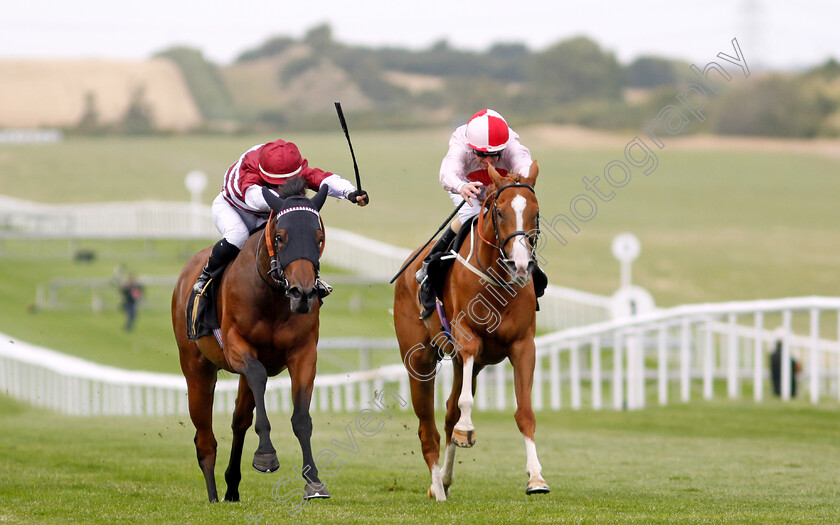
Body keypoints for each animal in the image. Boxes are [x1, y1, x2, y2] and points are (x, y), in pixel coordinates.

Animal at [171, 178, 328, 502]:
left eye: (318, 237)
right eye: (280, 237)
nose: (303, 293)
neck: (271, 296)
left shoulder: (304, 352)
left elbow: (301, 417)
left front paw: (314, 482)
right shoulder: (236, 346)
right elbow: (257, 375)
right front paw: (266, 456)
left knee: (239, 419)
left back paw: (231, 487)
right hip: (196, 368)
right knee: (205, 438)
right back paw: (213, 496)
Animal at [394, 161, 552, 500]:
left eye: (535, 212)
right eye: (500, 211)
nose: (520, 265)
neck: (498, 282)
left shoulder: (523, 345)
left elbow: (524, 412)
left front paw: (536, 478)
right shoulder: (466, 339)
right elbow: (463, 407)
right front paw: (467, 430)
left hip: (471, 365)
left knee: (448, 414)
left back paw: (445, 478)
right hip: (419, 361)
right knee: (428, 429)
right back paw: (437, 487)